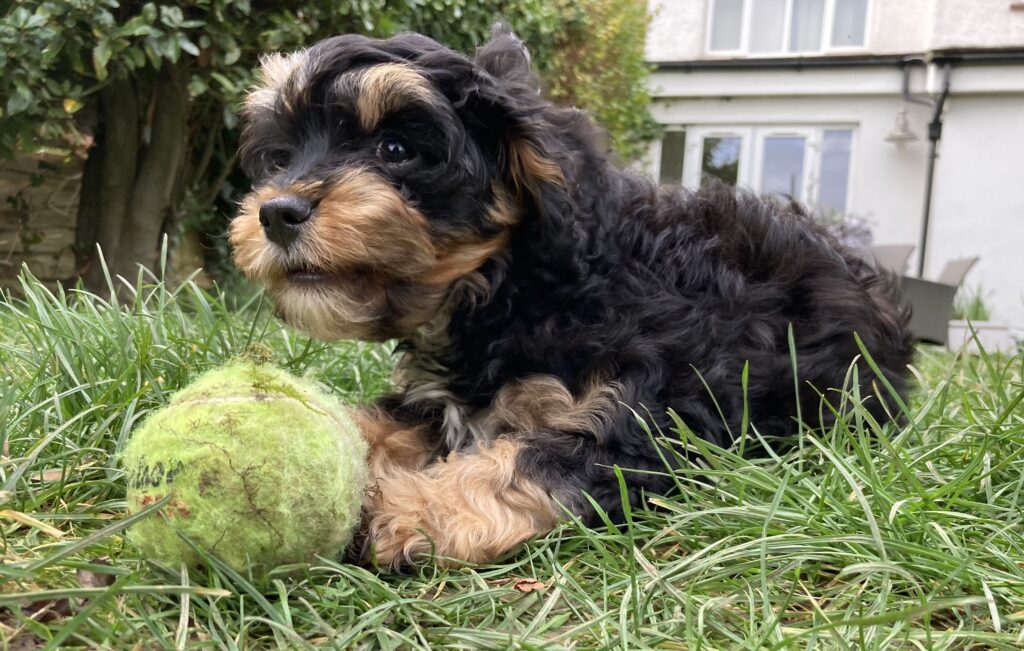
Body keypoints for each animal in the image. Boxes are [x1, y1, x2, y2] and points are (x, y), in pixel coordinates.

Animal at [232, 28, 913, 569]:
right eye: (283, 156)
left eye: (395, 150)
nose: (277, 212)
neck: (511, 290)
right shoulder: (434, 396)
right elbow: (380, 419)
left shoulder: (660, 414)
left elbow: (534, 458)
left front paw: (413, 511)